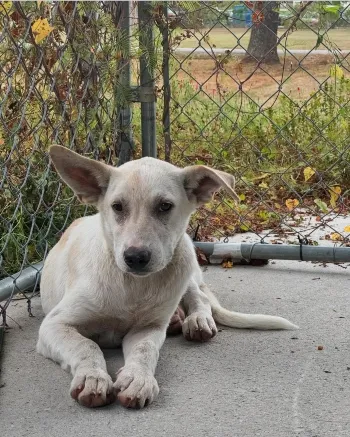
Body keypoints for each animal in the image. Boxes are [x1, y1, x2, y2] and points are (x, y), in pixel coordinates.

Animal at [37, 146, 296, 408]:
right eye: (117, 207)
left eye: (164, 206)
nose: (135, 257)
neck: (133, 286)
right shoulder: (54, 324)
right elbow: (86, 345)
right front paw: (93, 377)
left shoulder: (148, 328)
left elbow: (146, 350)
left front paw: (138, 378)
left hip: (186, 258)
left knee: (200, 297)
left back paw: (196, 320)